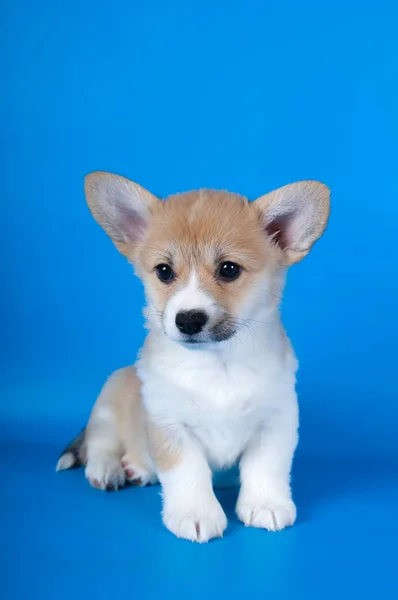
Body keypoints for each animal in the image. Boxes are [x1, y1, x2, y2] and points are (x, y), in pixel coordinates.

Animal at [56, 173, 330, 544]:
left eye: (229, 269)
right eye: (164, 271)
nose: (187, 320)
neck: (218, 364)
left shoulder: (275, 420)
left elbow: (266, 467)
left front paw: (266, 504)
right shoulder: (170, 426)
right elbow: (189, 472)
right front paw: (196, 514)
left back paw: (138, 468)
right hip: (108, 404)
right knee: (100, 444)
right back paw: (110, 469)